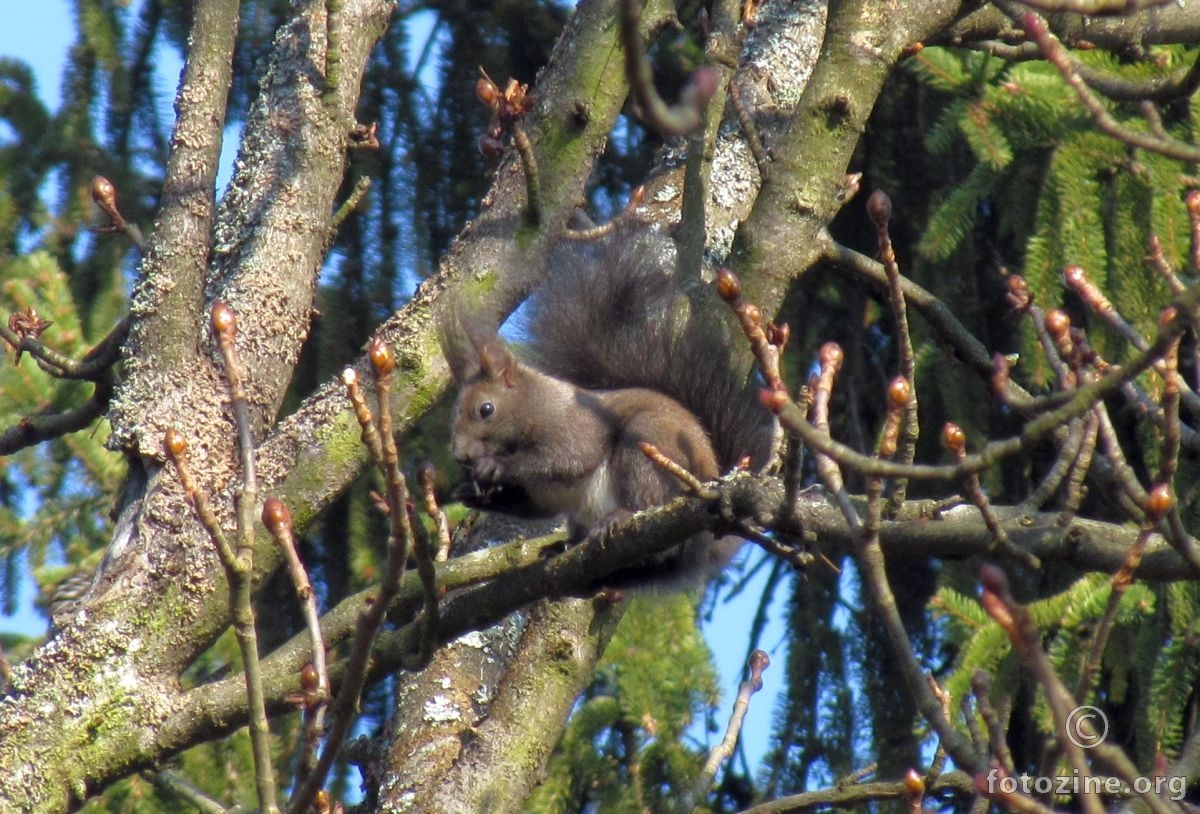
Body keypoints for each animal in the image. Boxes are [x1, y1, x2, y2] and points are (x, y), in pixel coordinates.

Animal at [446, 224, 772, 585]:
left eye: (485, 410)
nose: (461, 456)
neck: (536, 407)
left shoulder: (573, 426)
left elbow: (569, 458)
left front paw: (496, 466)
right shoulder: (542, 495)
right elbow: (532, 506)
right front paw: (468, 492)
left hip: (648, 448)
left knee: (648, 502)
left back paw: (621, 516)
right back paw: (564, 547)